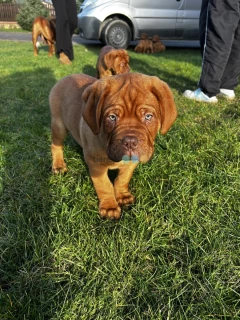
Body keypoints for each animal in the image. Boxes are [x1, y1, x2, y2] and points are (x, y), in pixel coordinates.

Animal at [49, 72, 176, 220]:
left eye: (148, 116)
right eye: (112, 117)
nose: (130, 141)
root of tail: (67, 76)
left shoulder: (131, 162)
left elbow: (123, 178)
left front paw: (122, 196)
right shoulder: (96, 165)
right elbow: (104, 185)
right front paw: (110, 206)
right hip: (59, 125)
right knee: (56, 145)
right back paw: (58, 165)